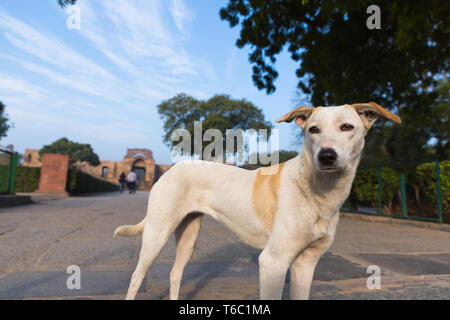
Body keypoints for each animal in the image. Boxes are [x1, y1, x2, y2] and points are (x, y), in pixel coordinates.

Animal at [113, 102, 400, 300]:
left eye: (347, 127)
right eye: (313, 130)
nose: (326, 156)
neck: (317, 192)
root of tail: (171, 169)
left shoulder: (306, 263)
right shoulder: (273, 262)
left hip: (188, 236)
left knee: (175, 274)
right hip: (157, 234)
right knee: (136, 276)